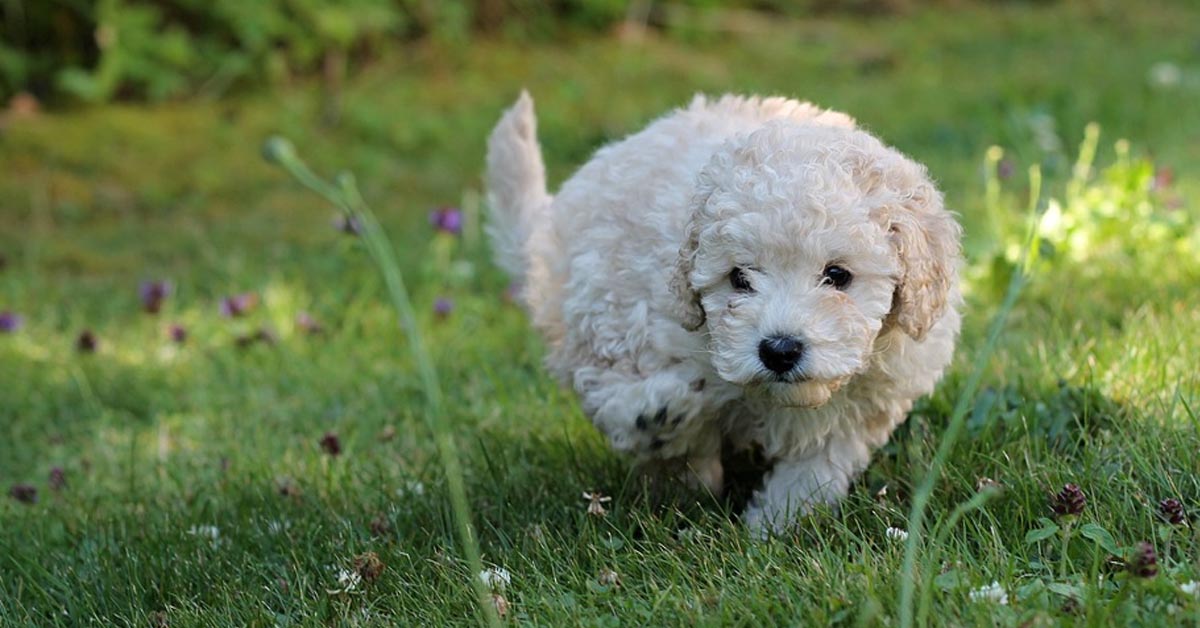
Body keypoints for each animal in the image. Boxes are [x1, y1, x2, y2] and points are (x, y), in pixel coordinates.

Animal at [482, 93, 960, 533]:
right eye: (738, 277)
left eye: (837, 275)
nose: (779, 350)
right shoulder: (633, 327)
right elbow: (634, 408)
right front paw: (659, 422)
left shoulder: (865, 403)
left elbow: (816, 467)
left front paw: (776, 526)